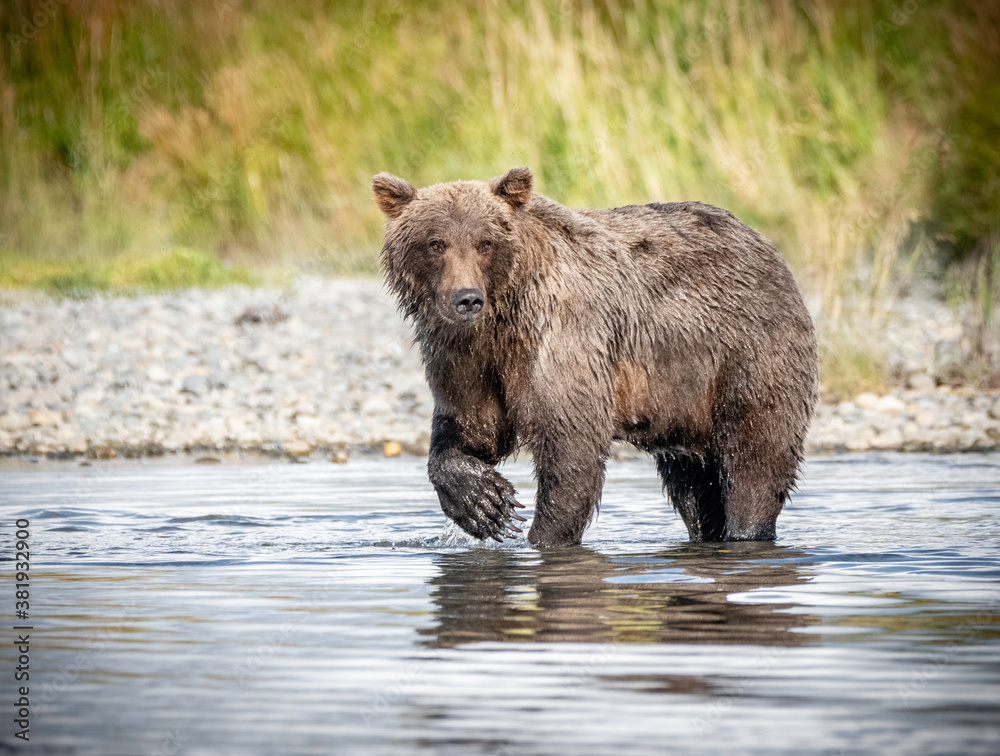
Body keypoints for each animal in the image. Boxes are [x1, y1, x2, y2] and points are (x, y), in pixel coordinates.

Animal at [373, 167, 818, 547]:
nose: (466, 298)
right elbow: (468, 428)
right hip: (685, 402)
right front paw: (484, 503)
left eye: (485, 243)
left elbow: (571, 446)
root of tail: (767, 246)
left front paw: (539, 535)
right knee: (695, 485)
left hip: (746, 353)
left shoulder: (563, 337)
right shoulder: (462, 358)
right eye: (435, 243)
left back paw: (746, 530)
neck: (501, 322)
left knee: (754, 458)